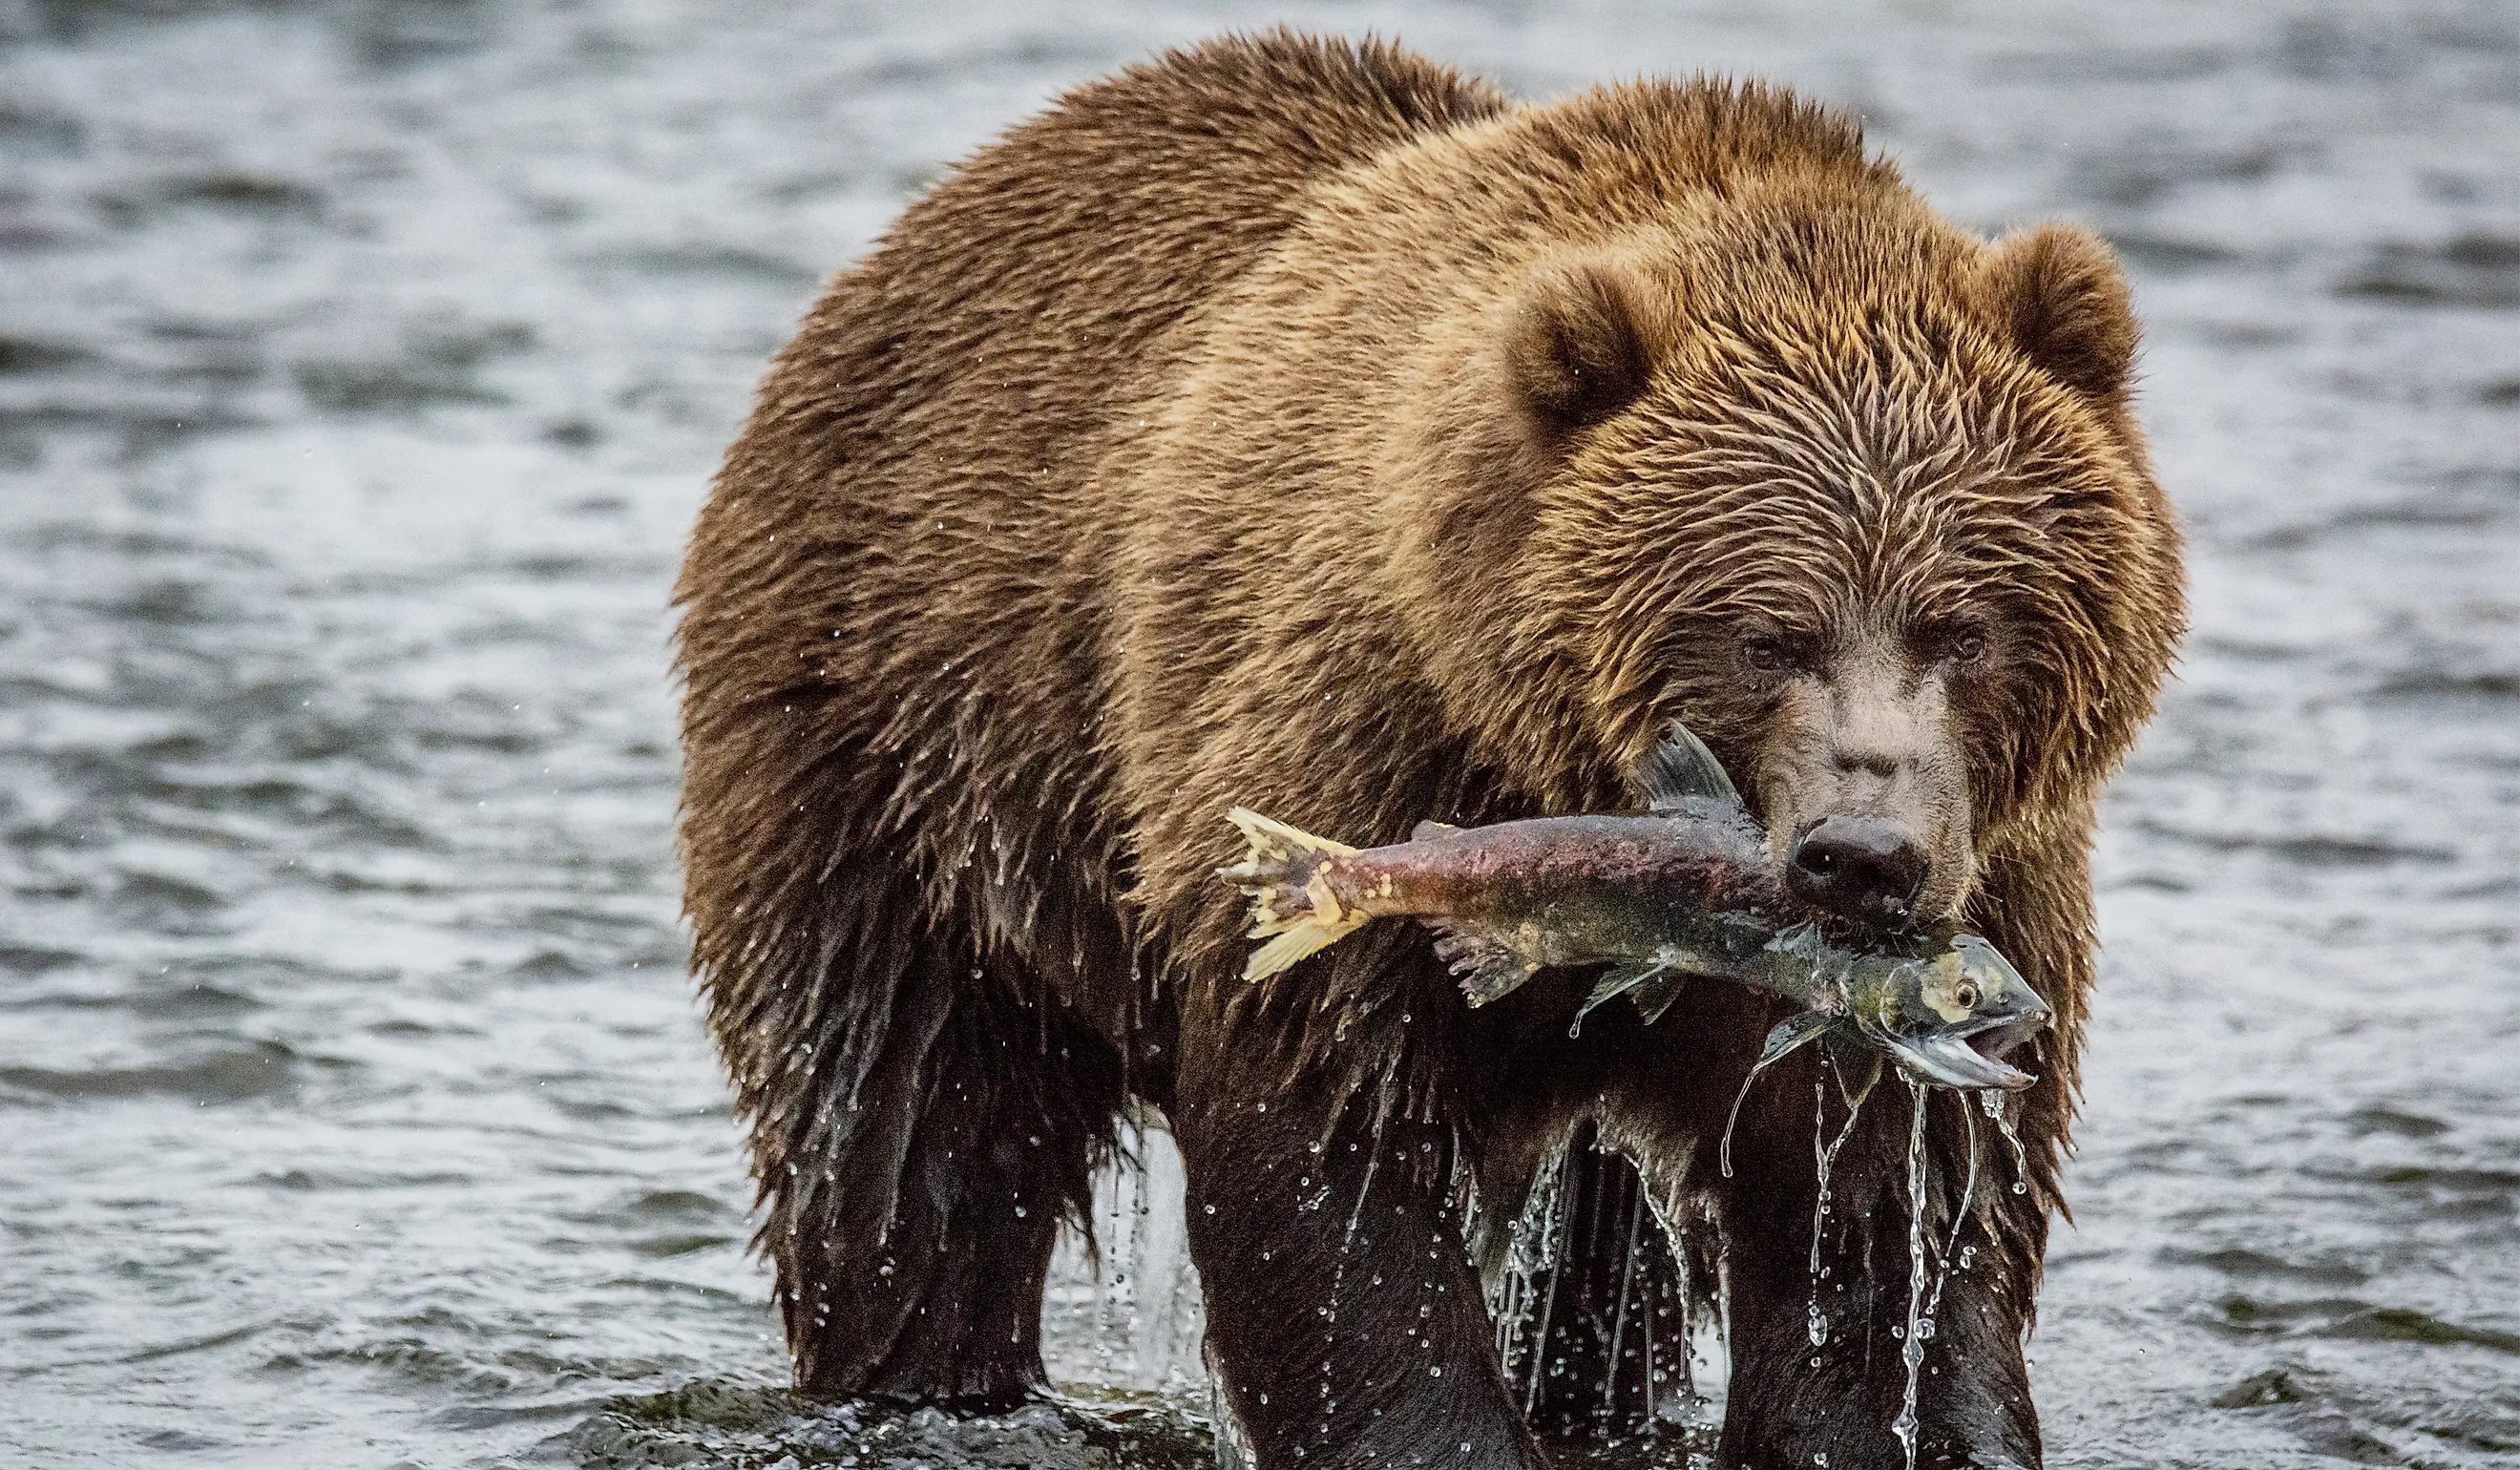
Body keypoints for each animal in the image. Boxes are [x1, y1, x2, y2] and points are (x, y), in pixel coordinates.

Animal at [673, 30, 2184, 1470]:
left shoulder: (1986, 897)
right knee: (906, 1128)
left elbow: (1882, 1217)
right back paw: (925, 1375)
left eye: (1964, 626)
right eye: (1769, 635)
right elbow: (1334, 1156)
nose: (1861, 857)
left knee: (1599, 1270)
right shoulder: (1355, 745)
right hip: (901, 751)